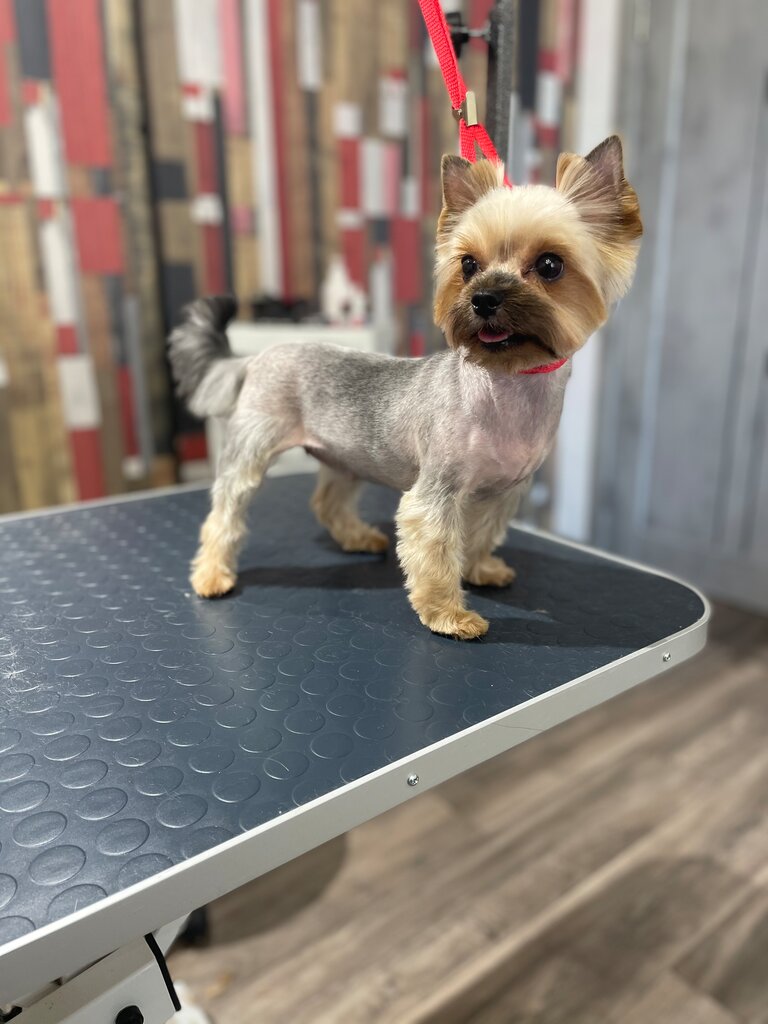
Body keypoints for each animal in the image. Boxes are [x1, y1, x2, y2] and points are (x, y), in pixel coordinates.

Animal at [168, 136, 641, 640]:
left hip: (346, 455)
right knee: (224, 514)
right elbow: (435, 555)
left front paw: (480, 569)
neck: (506, 382)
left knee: (328, 502)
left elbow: (480, 535)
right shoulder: (437, 493)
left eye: (550, 264)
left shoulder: (502, 492)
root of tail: (256, 358)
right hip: (251, 450)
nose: (483, 298)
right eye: (468, 264)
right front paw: (448, 614)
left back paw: (356, 537)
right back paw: (212, 574)